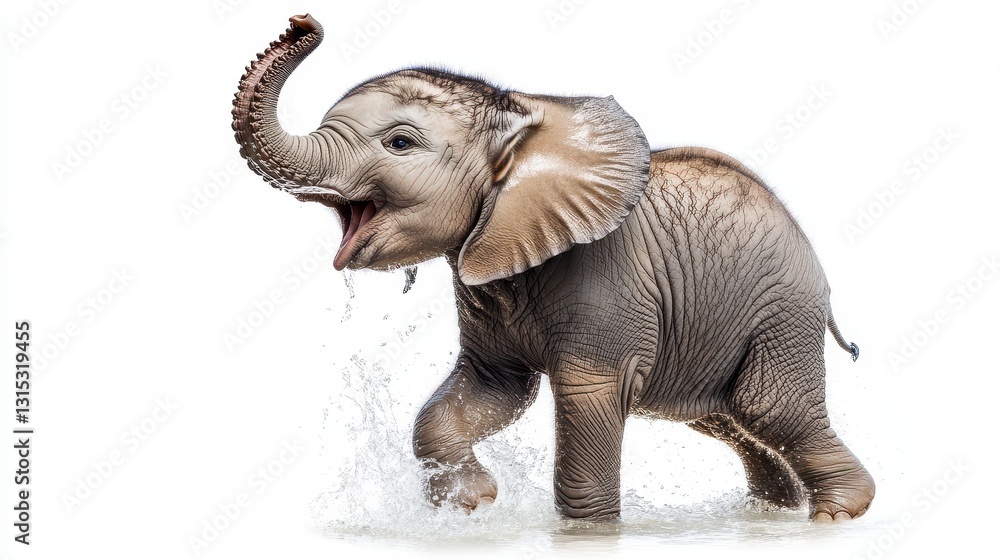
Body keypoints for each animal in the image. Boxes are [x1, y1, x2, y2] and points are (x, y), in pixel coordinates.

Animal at [232, 14, 875, 522]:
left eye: (400, 144)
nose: (302, 21)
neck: (520, 113)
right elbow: (491, 390)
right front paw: (473, 504)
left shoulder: (606, 280)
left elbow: (588, 394)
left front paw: (585, 530)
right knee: (728, 419)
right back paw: (771, 513)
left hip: (782, 314)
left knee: (770, 409)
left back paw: (837, 513)